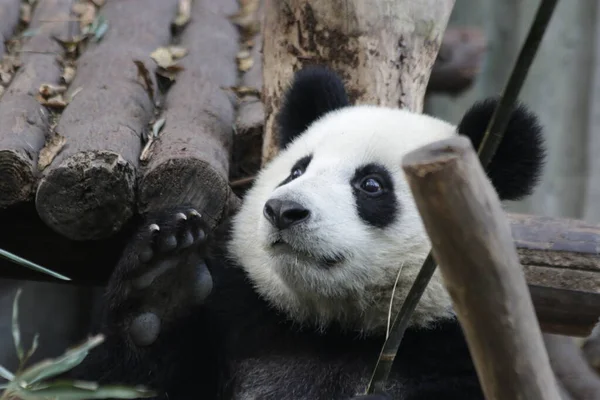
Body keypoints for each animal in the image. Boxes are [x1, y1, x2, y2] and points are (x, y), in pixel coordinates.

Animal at [72, 65, 548, 396]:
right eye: (298, 170)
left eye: (371, 184)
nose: (284, 211)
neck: (335, 330)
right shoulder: (243, 323)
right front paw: (160, 287)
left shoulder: (454, 351)